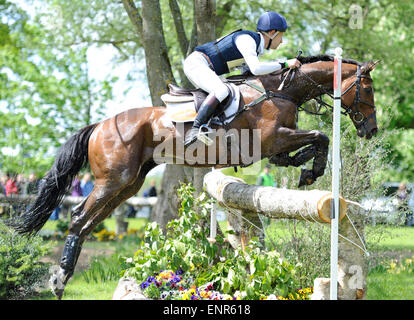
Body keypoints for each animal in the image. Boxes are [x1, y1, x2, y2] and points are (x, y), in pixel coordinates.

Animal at [7, 54, 378, 298]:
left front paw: (303, 167)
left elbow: (310, 143)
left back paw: (64, 276)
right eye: (369, 89)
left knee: (88, 222)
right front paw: (311, 172)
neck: (281, 90)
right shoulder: (274, 139)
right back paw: (59, 279)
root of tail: (100, 124)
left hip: (129, 184)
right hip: (114, 180)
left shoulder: (275, 146)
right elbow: (321, 136)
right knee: (78, 216)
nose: (371, 130)